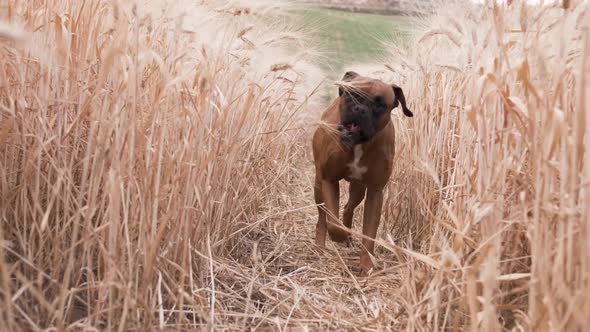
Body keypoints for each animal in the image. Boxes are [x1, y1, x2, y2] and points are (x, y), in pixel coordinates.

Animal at [312, 71, 414, 276]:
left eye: (379, 104)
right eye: (351, 95)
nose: (359, 109)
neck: (359, 145)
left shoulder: (375, 193)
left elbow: (369, 234)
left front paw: (367, 265)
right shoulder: (329, 181)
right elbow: (333, 222)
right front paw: (339, 236)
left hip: (358, 189)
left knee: (347, 208)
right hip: (319, 185)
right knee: (322, 218)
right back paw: (322, 244)